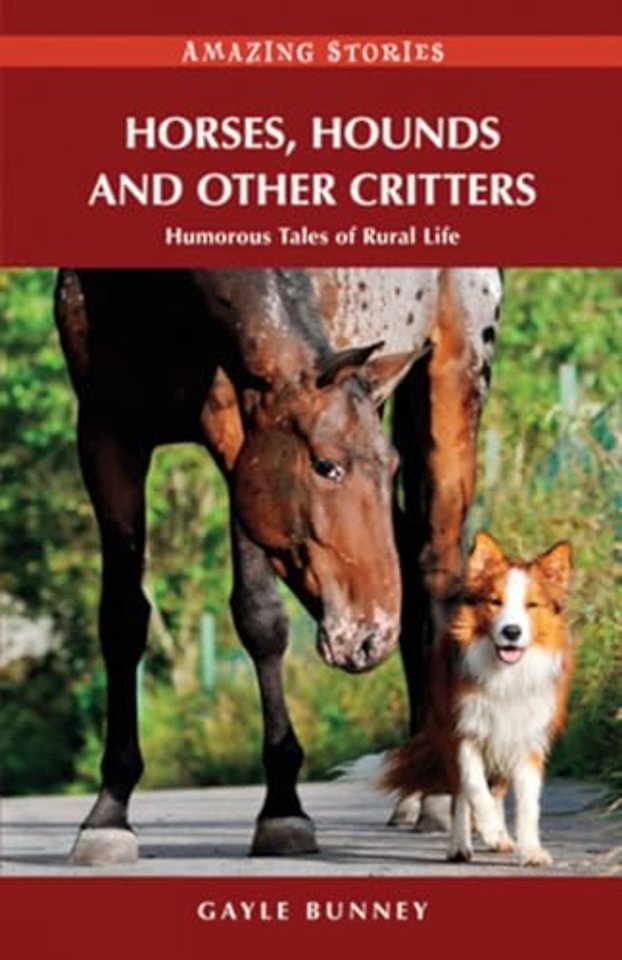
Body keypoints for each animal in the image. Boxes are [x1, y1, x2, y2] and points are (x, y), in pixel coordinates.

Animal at [54, 266, 502, 864]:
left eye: (385, 467)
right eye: (326, 465)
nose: (367, 637)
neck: (156, 292)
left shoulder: (237, 431)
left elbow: (259, 617)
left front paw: (283, 810)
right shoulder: (107, 434)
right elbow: (123, 620)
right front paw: (109, 813)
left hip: (454, 387)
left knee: (436, 571)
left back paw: (435, 794)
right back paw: (415, 788)